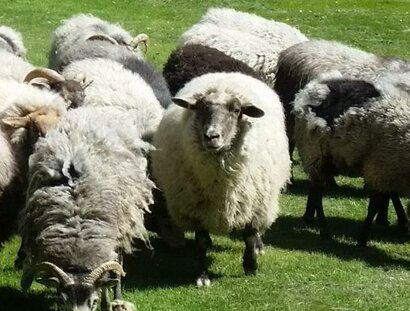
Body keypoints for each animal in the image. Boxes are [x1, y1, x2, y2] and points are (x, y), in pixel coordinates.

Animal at [151, 72, 292, 286]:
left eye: (236, 110)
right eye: (199, 107)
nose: (211, 136)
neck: (220, 183)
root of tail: (228, 74)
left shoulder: (252, 203)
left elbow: (249, 236)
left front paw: (251, 265)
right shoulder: (197, 208)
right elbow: (201, 242)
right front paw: (202, 276)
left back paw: (259, 247)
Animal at [294, 71, 410, 246]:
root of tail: (317, 85)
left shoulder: (388, 170)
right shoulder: (381, 167)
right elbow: (375, 205)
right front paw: (362, 239)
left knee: (314, 189)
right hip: (315, 153)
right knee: (318, 194)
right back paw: (324, 231)